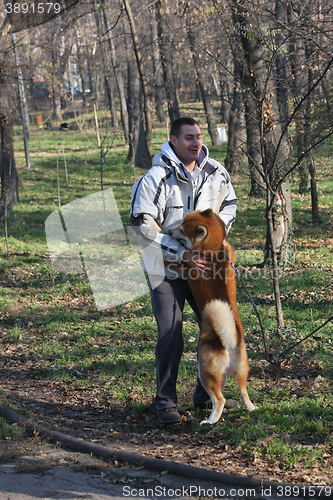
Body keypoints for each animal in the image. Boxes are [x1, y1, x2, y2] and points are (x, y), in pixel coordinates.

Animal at [170, 209, 255, 424]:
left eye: (182, 229)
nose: (169, 230)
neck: (214, 248)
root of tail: (228, 339)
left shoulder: (188, 265)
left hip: (205, 371)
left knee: (220, 399)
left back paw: (210, 421)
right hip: (240, 368)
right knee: (243, 390)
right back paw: (251, 407)